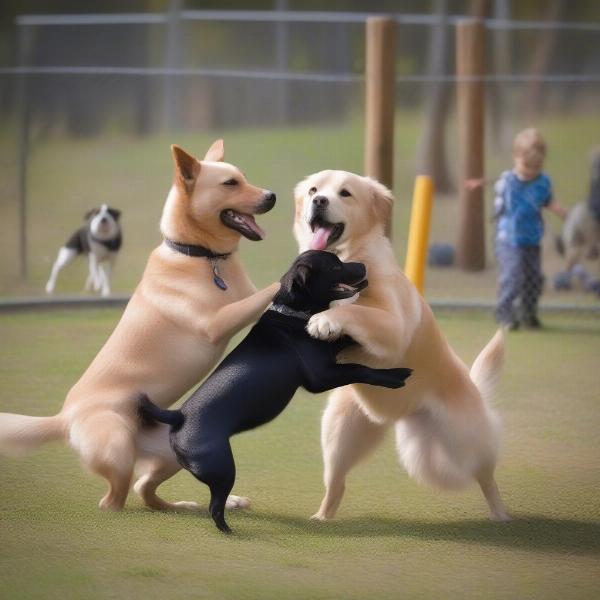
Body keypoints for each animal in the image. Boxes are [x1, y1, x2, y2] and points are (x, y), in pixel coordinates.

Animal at [0, 139, 282, 510]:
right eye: (230, 184)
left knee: (145, 490)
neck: (201, 257)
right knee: (115, 499)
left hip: (175, 451)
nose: (272, 196)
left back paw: (193, 506)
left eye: (244, 177)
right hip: (118, 444)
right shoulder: (217, 322)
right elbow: (270, 289)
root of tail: (64, 418)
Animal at [141, 251, 412, 532]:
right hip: (223, 468)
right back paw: (231, 531)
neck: (293, 314)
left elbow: (346, 337)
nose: (363, 265)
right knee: (215, 507)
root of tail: (178, 416)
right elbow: (360, 368)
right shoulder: (321, 377)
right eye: (335, 265)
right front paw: (395, 376)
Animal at [292, 169, 508, 520]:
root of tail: (405, 412)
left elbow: (354, 310)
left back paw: (502, 516)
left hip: (466, 440)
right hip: (341, 430)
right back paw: (321, 517)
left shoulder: (393, 325)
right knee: (337, 484)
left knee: (487, 477)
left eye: (345, 193)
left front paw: (325, 320)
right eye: (313, 190)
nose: (319, 201)